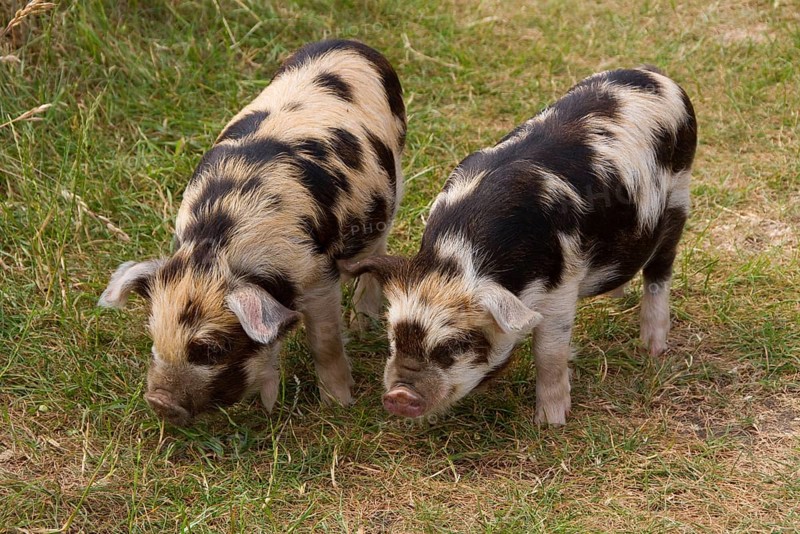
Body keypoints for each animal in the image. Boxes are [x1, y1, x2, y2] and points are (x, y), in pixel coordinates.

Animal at [98, 40, 406, 426]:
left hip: (393, 187)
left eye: (213, 348)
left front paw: (338, 405)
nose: (159, 402)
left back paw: (363, 324)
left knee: (378, 247)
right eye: (154, 336)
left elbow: (324, 343)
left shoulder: (318, 277)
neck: (216, 248)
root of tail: (350, 43)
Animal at [346, 67, 697, 424]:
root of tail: (657, 76)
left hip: (678, 195)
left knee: (660, 270)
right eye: (394, 338)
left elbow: (549, 352)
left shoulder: (562, 285)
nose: (399, 396)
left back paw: (652, 348)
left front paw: (550, 422)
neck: (458, 254)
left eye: (456, 345)